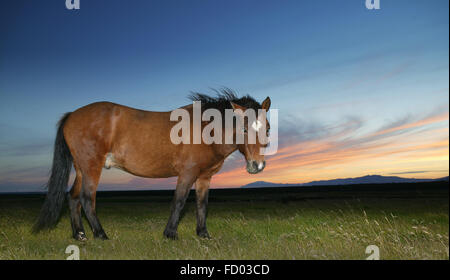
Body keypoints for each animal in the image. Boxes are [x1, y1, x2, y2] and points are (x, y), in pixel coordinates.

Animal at [33, 89, 270, 241]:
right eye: (245, 129)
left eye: (267, 127)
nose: (257, 166)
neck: (205, 127)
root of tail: (72, 115)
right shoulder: (187, 173)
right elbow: (179, 201)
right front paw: (170, 234)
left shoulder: (204, 177)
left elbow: (202, 204)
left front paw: (203, 234)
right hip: (92, 166)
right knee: (86, 198)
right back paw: (100, 234)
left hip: (82, 168)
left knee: (73, 198)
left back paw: (80, 235)